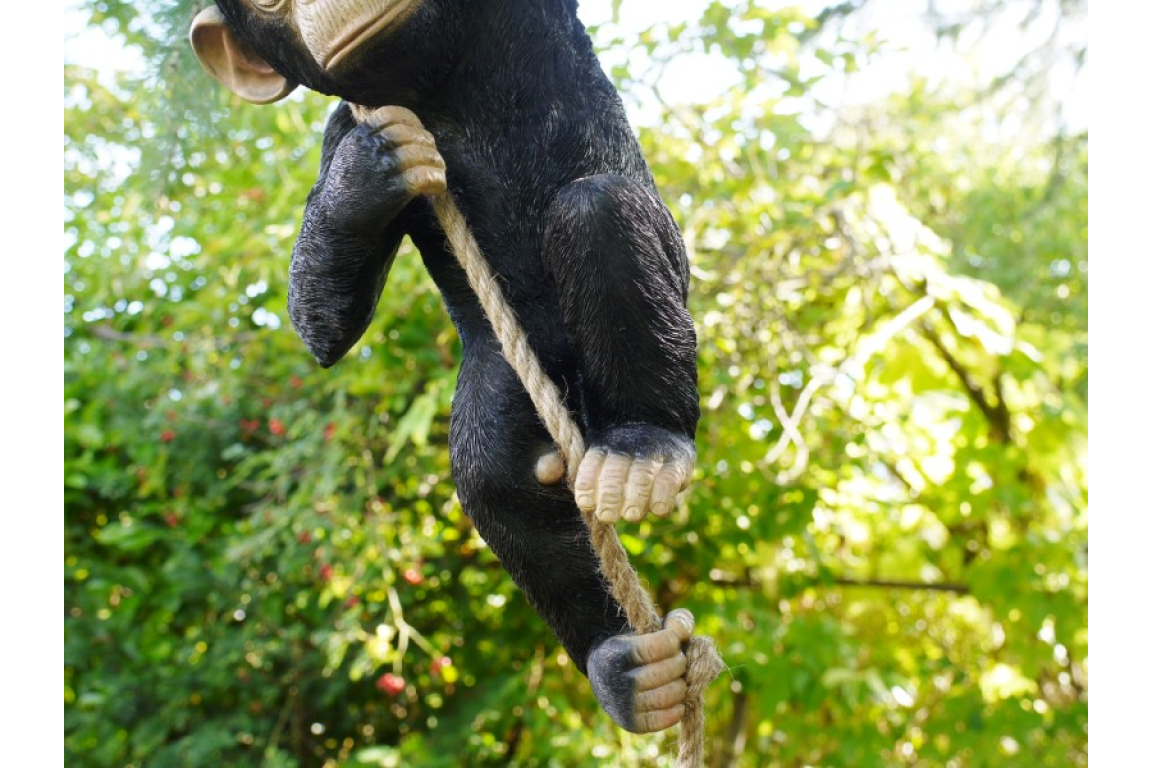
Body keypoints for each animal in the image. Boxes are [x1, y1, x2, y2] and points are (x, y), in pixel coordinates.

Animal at [191, 0, 701, 734]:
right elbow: (322, 328)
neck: (440, 79)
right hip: (504, 375)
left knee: (599, 208)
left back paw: (646, 447)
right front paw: (368, 172)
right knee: (496, 485)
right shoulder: (345, 125)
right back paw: (626, 669)